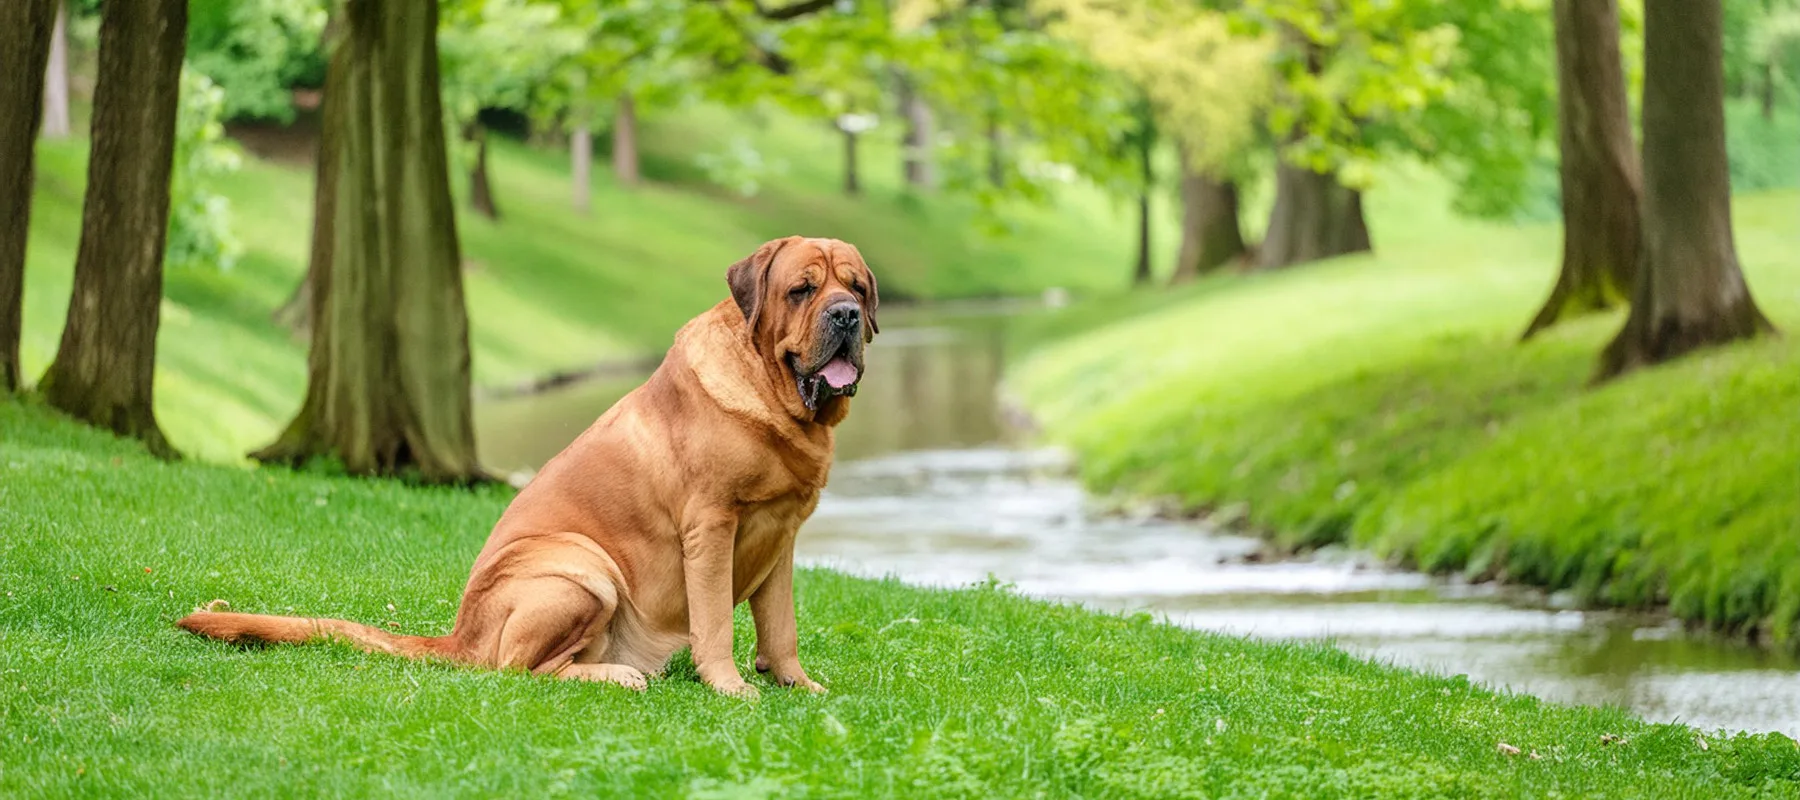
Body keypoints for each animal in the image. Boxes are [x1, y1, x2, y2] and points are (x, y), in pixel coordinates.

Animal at [179, 234, 882, 695]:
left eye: (856, 286)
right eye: (802, 290)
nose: (847, 314)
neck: (776, 401)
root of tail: (459, 635)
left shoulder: (781, 537)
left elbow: (781, 627)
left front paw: (798, 685)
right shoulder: (711, 528)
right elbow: (714, 624)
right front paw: (731, 687)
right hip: (584, 569)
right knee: (520, 667)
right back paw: (619, 674)